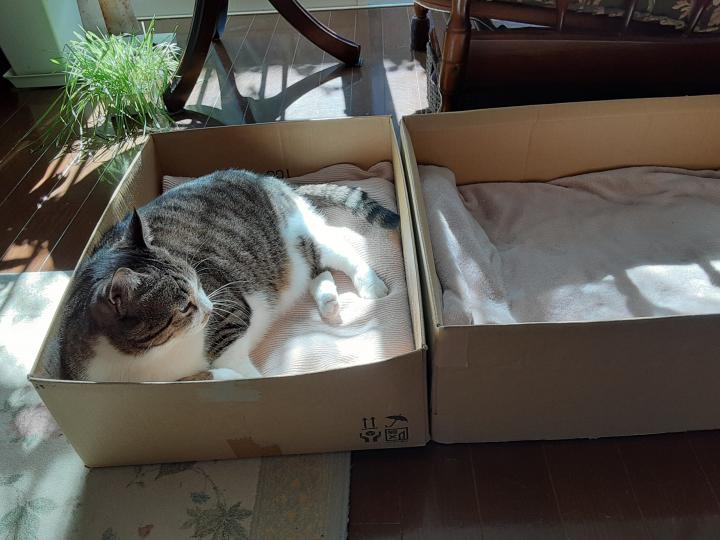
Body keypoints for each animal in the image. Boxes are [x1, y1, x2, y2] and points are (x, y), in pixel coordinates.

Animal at [58, 168, 400, 382]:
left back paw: (371, 286)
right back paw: (328, 304)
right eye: (184, 306)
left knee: (337, 249)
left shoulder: (230, 314)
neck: (146, 363)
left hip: (299, 237)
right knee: (318, 271)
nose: (210, 307)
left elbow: (233, 363)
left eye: (199, 282)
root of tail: (266, 178)